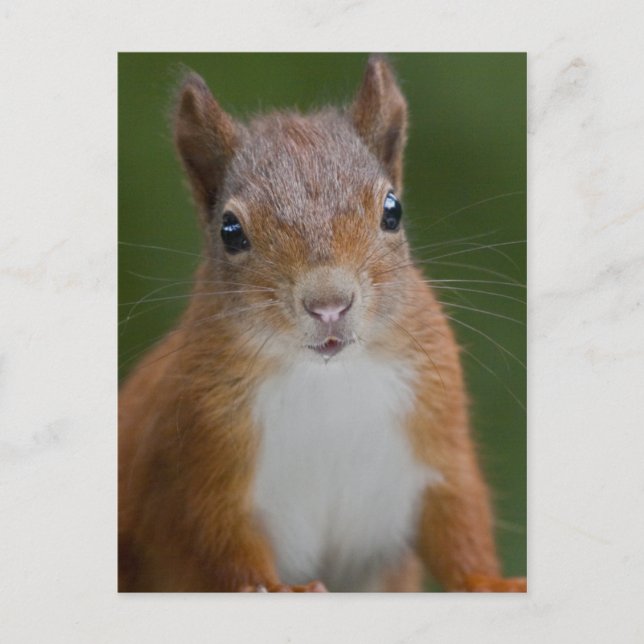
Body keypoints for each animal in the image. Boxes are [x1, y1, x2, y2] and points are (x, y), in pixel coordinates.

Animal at [118, 55, 526, 593]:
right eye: (231, 231)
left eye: (393, 210)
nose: (329, 304)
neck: (327, 381)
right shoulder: (203, 458)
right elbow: (220, 539)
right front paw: (276, 590)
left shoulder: (438, 434)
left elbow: (458, 517)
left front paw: (489, 581)